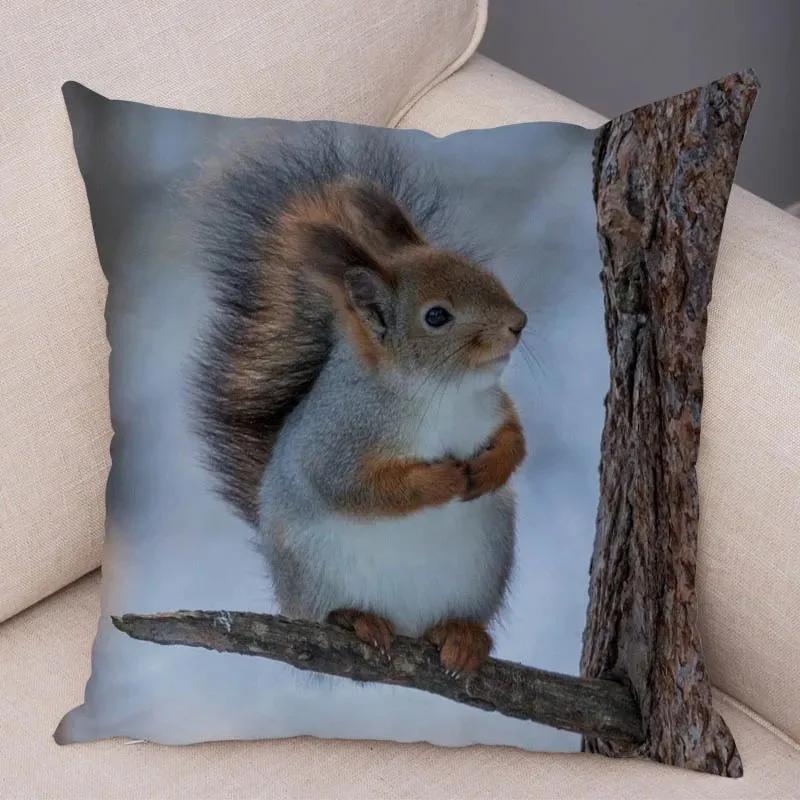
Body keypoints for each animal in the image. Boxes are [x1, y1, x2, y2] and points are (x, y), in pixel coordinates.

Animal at [192, 129, 527, 673]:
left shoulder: (493, 406)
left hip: (486, 562)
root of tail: (408, 623)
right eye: (437, 316)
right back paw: (357, 619)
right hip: (316, 573)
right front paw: (444, 479)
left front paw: (492, 466)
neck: (438, 391)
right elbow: (359, 489)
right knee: (330, 611)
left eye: (480, 272)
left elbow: (517, 437)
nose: (518, 323)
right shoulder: (336, 441)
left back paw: (461, 634)